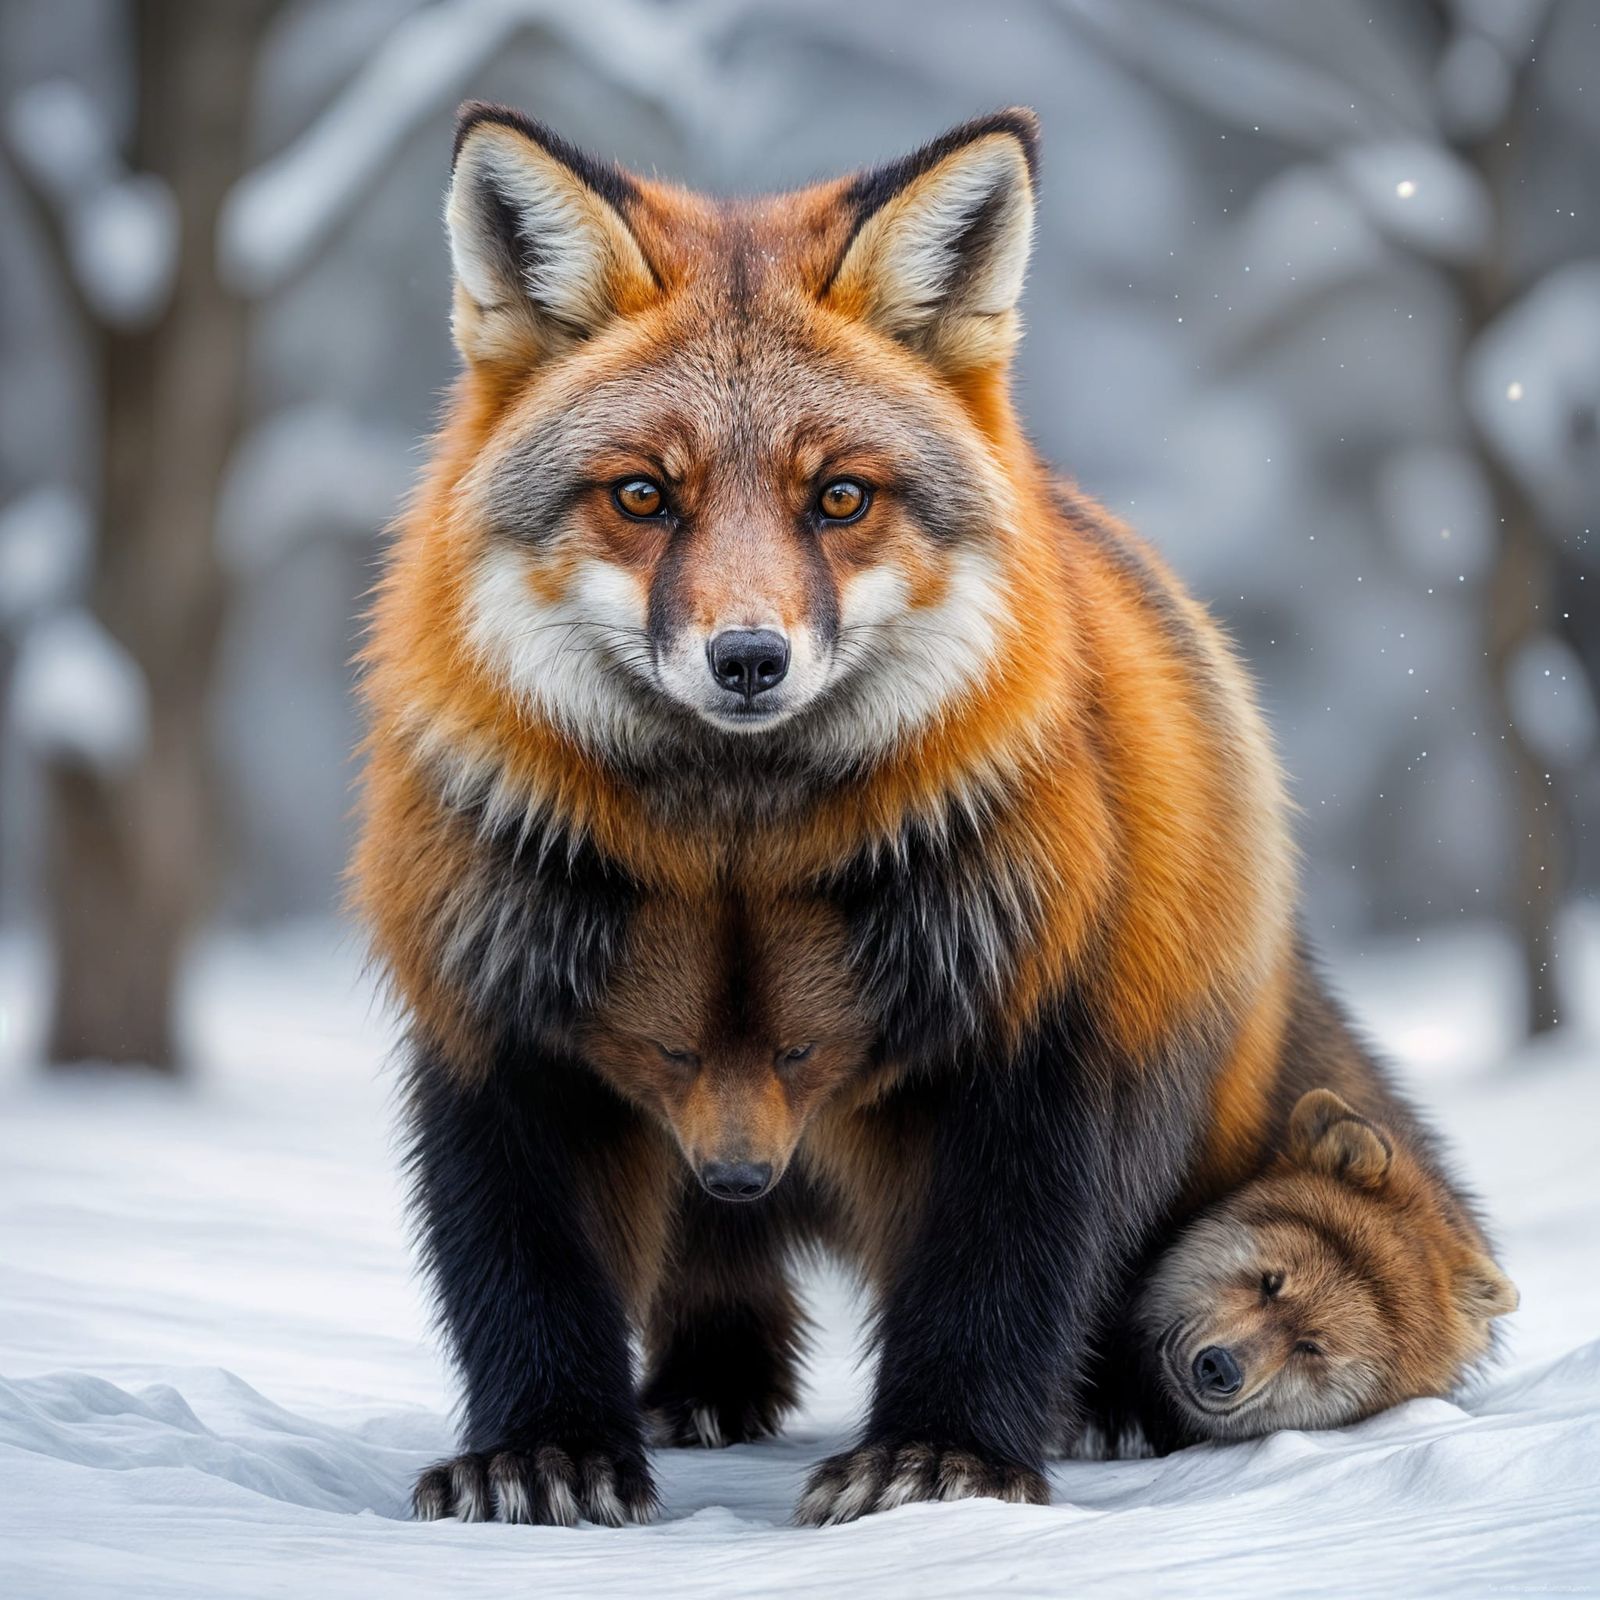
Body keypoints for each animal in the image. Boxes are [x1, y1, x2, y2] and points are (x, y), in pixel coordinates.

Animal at [354, 102, 1494, 1527]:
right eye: (643, 495)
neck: (740, 846)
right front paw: (545, 1452)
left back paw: (1111, 1403)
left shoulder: (1029, 1031)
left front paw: (941, 1466)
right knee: (716, 1273)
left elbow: (991, 1278)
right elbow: (524, 1276)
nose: (747, 660)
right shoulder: (500, 1021)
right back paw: (707, 1386)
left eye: (838, 496)